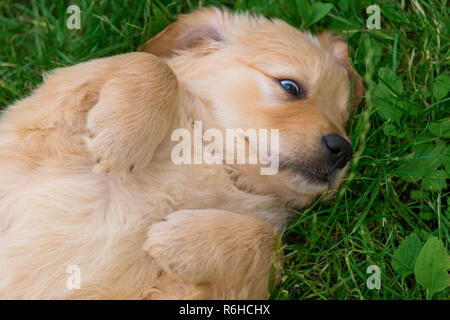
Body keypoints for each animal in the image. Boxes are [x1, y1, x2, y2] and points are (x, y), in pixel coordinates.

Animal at [0, 7, 362, 298]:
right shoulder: (36, 124)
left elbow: (270, 244)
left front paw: (180, 241)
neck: (214, 161)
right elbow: (152, 64)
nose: (343, 149)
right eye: (291, 87)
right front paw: (121, 140)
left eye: (343, 120)